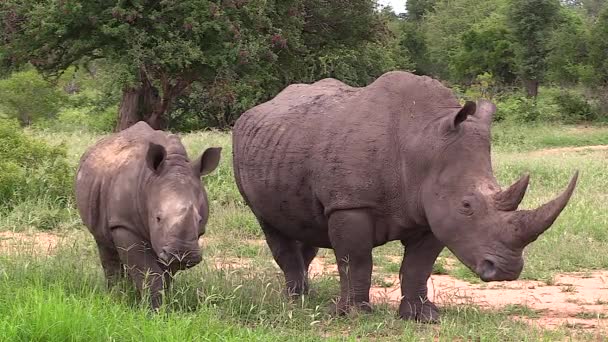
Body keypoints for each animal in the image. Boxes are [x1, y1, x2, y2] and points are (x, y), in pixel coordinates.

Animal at [74, 121, 220, 308]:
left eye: (199, 220)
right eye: (158, 218)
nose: (183, 254)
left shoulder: (167, 243)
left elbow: (164, 273)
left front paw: (163, 304)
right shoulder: (124, 224)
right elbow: (148, 271)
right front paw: (153, 309)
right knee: (104, 243)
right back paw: (116, 296)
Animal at [233, 71, 580, 322]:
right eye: (466, 206)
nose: (506, 272)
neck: (423, 144)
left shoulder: (432, 211)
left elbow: (418, 266)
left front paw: (422, 317)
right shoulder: (351, 204)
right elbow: (356, 259)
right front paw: (354, 315)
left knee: (303, 223)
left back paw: (307, 296)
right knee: (270, 224)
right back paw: (297, 301)